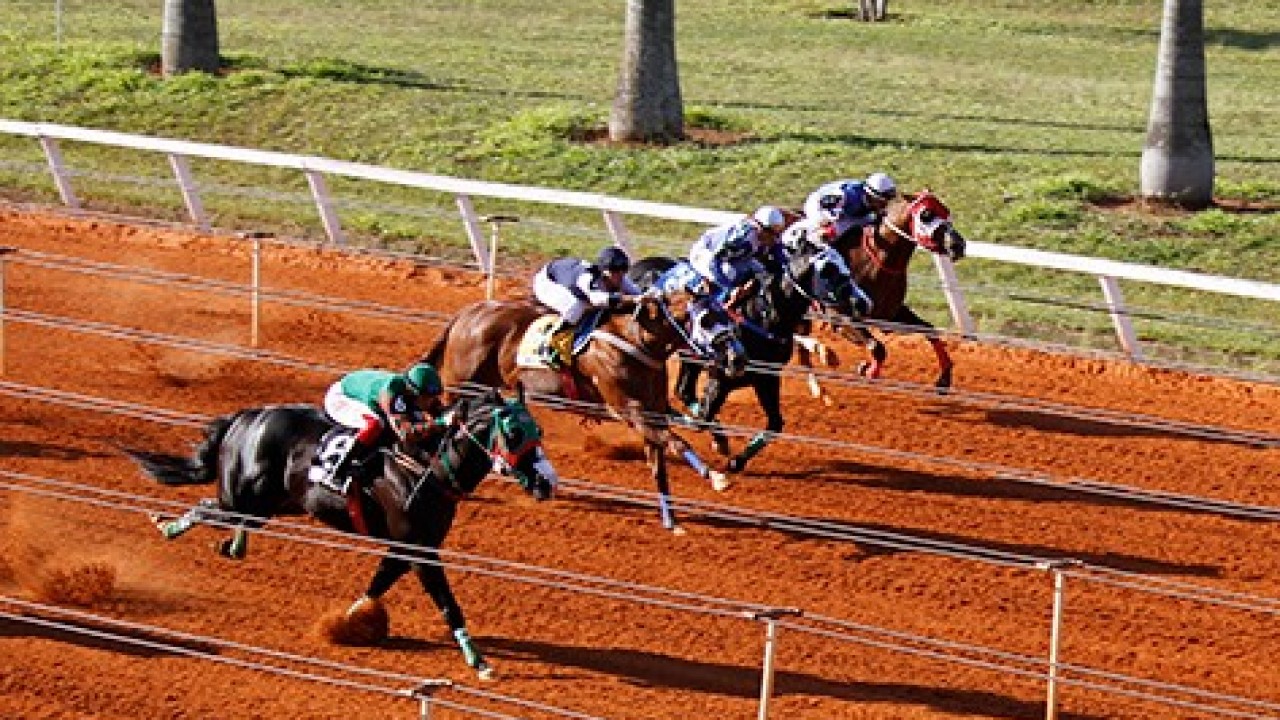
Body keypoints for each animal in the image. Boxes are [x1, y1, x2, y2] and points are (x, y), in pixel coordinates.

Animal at [126, 384, 560, 676]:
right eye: (514, 433)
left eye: (539, 431)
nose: (547, 483)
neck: (425, 464)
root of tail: (245, 417)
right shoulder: (420, 549)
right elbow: (447, 602)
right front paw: (478, 661)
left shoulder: (406, 545)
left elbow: (380, 580)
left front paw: (347, 624)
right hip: (242, 497)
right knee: (208, 507)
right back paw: (168, 526)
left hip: (273, 505)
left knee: (234, 518)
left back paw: (229, 545)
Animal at [627, 242, 860, 471]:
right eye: (829, 269)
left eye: (844, 264)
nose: (862, 302)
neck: (761, 315)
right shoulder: (721, 377)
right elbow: (702, 418)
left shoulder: (766, 379)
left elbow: (775, 423)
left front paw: (736, 460)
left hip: (689, 358)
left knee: (683, 391)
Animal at [793, 189, 962, 392]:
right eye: (926, 214)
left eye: (946, 211)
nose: (959, 245)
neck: (872, 262)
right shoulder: (838, 316)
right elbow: (877, 347)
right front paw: (867, 370)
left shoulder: (890, 314)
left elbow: (929, 330)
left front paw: (945, 377)